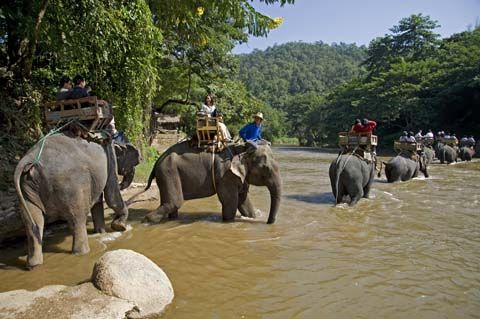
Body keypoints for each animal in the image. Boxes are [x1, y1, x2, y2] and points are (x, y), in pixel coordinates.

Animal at [13, 134, 140, 268]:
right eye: (134, 162)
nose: (123, 185)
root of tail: (30, 158)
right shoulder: (110, 158)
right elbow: (111, 195)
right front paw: (120, 227)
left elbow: (98, 202)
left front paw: (101, 232)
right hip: (71, 185)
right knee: (77, 219)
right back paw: (82, 252)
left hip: (27, 185)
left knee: (33, 224)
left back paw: (33, 265)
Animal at [142, 141, 282, 226]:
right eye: (265, 168)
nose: (268, 223)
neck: (242, 147)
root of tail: (157, 160)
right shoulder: (226, 175)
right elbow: (230, 203)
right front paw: (228, 221)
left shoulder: (239, 176)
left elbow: (244, 202)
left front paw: (252, 217)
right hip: (169, 172)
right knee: (174, 202)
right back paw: (146, 220)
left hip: (166, 174)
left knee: (171, 204)